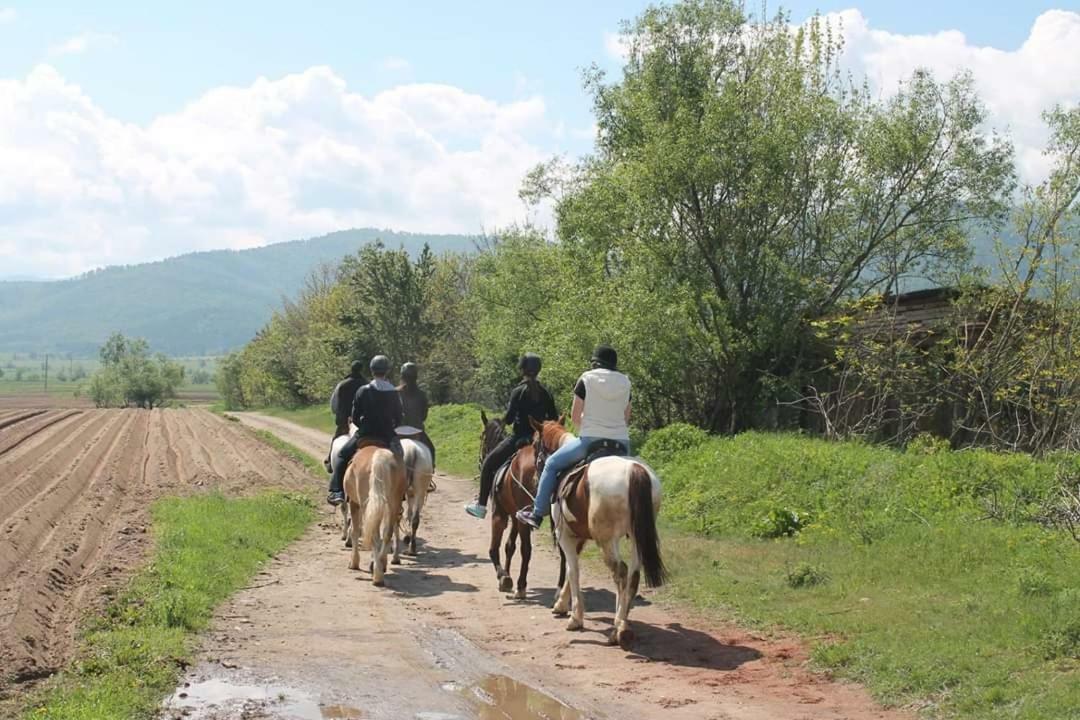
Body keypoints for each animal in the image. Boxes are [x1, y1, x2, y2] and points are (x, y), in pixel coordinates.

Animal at [343, 444, 406, 587]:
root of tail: (380, 457)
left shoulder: (354, 503)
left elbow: (355, 531)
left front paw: (354, 562)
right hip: (393, 503)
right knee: (387, 533)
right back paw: (381, 564)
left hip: (366, 505)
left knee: (374, 535)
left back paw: (377, 576)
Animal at [479, 408, 537, 600]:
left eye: (482, 437)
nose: (481, 459)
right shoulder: (515, 515)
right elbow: (510, 546)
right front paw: (506, 574)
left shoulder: (500, 514)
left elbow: (494, 548)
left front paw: (503, 577)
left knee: (526, 549)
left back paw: (521, 586)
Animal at [531, 416, 665, 647]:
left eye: (534, 445)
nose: (533, 478)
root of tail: (634, 470)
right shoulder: (580, 536)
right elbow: (571, 568)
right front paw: (561, 605)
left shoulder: (565, 535)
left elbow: (572, 570)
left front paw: (575, 618)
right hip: (636, 536)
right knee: (633, 574)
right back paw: (623, 623)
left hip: (607, 540)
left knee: (620, 572)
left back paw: (619, 629)